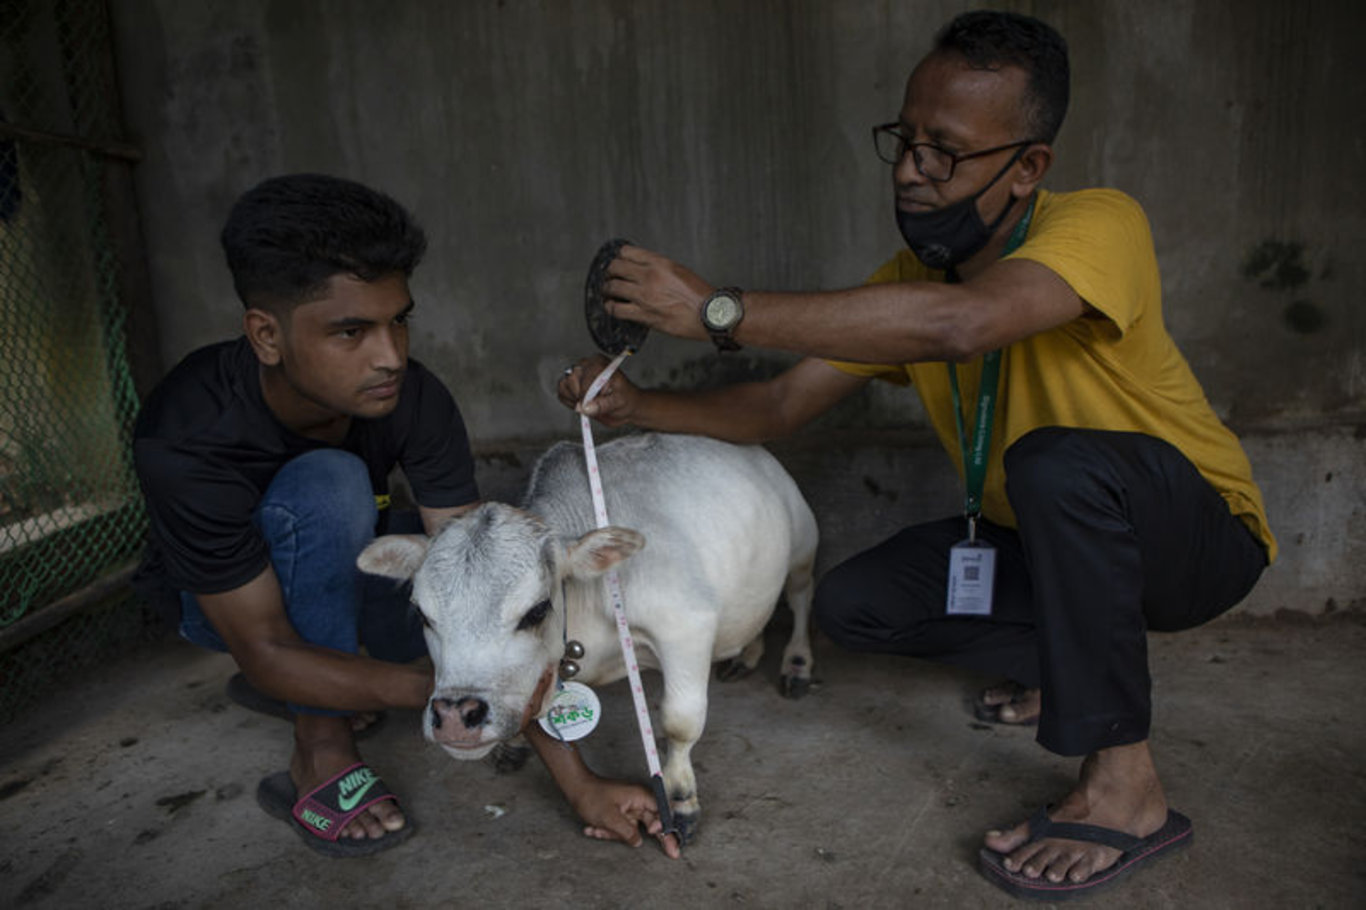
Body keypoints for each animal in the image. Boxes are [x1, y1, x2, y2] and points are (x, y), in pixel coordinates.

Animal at [357, 429, 814, 841]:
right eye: (423, 615)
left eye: (537, 610)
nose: (455, 717)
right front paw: (515, 743)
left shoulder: (686, 625)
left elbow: (680, 721)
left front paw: (681, 799)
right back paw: (746, 654)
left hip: (802, 551)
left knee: (800, 598)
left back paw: (797, 664)